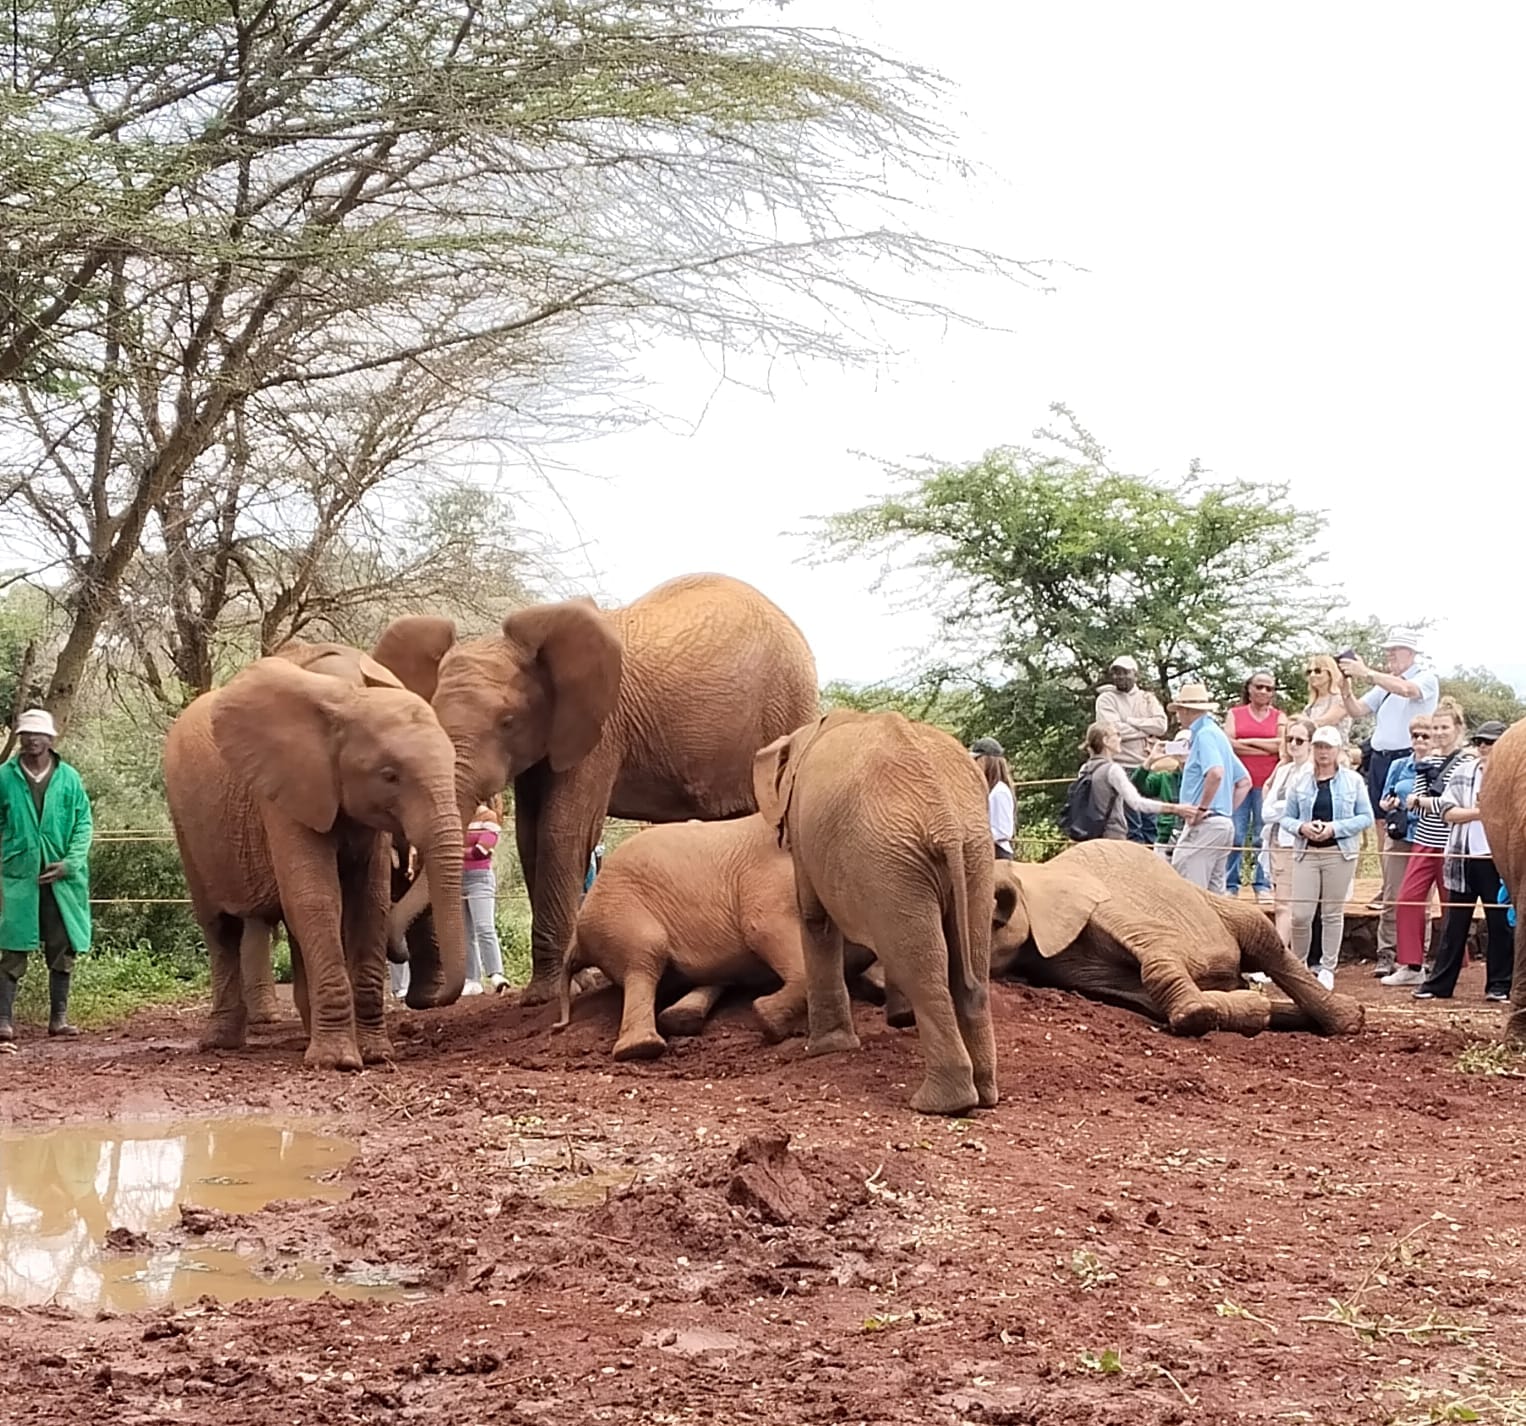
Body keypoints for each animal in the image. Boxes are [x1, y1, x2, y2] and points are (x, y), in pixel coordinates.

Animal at [162, 642, 468, 1069]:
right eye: (389, 775)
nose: (428, 1001)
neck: (348, 696)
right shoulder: (283, 787)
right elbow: (316, 898)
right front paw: (337, 1062)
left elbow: (368, 902)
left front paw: (375, 1055)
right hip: (187, 825)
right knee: (220, 927)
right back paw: (222, 1043)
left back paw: (307, 1034)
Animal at [372, 572, 819, 1004]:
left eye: (508, 722)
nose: (401, 954)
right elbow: (531, 837)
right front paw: (570, 986)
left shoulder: (600, 728)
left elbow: (562, 832)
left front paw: (545, 996)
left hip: (788, 701)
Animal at [550, 815, 882, 1059]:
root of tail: (577, 937)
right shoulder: (768, 883)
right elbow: (763, 929)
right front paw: (768, 1022)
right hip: (620, 913)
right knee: (644, 960)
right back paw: (643, 1048)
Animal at [753, 708, 998, 1116]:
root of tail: (945, 818)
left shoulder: (805, 833)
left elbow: (815, 919)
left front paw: (824, 1050)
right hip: (973, 853)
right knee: (971, 964)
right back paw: (984, 1095)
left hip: (892, 859)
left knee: (922, 967)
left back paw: (940, 1105)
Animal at [989, 840, 1365, 1036]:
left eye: (1000, 910)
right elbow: (1144, 997)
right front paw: (1244, 1008)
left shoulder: (1104, 905)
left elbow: (1158, 947)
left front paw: (1196, 1014)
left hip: (1210, 900)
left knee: (1263, 938)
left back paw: (1350, 1019)